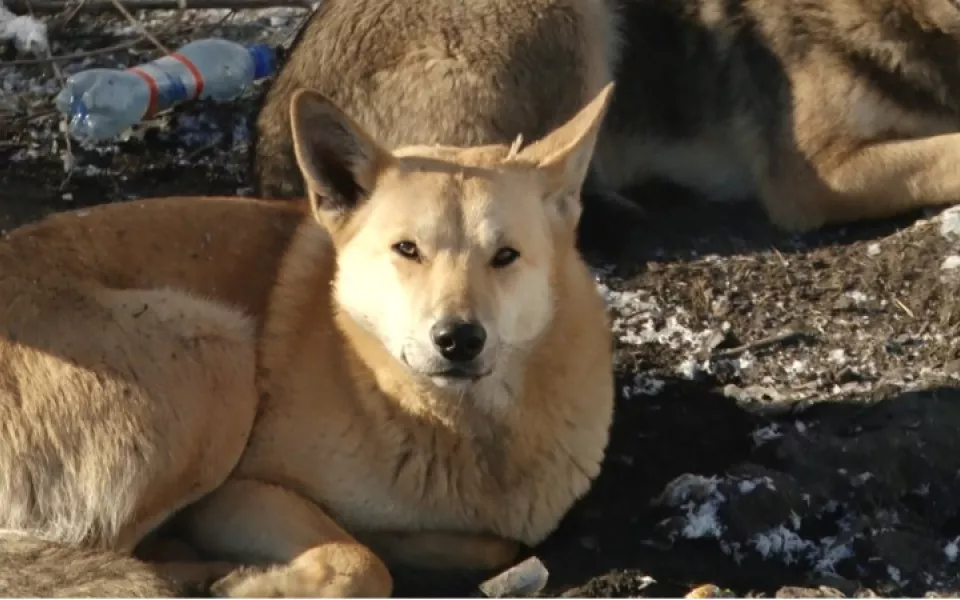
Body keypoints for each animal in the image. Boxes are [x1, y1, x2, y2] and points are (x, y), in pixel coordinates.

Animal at [0, 84, 616, 596]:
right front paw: (262, 584)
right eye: (407, 249)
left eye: (506, 256)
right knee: (106, 553)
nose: (458, 339)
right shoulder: (237, 492)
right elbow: (361, 561)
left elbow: (487, 544)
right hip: (216, 348)